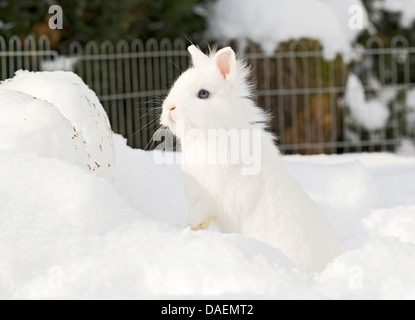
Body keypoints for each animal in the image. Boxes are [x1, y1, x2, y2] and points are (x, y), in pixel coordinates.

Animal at [160, 45, 342, 276]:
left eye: (203, 94)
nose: (169, 108)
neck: (217, 132)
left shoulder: (203, 198)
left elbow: (198, 217)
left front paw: (188, 230)